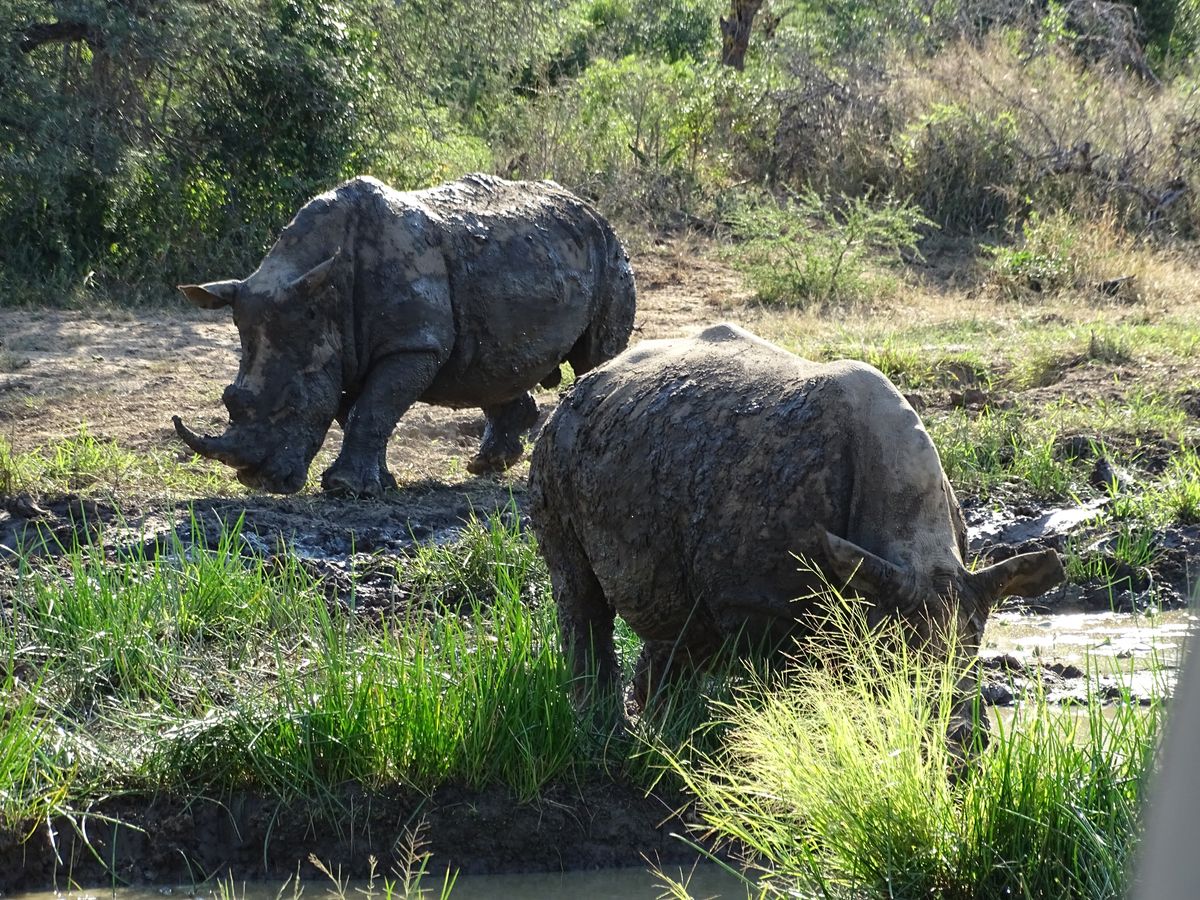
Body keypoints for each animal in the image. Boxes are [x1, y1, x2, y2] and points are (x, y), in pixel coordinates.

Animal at [173, 173, 636, 496]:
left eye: (292, 402)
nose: (256, 480)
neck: (322, 293)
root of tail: (589, 206)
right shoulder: (347, 346)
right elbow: (360, 411)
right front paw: (377, 484)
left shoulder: (413, 344)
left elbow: (372, 408)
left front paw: (345, 489)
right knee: (495, 364)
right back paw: (485, 466)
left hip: (609, 251)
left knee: (595, 358)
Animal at [529, 323, 1064, 719]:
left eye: (973, 660)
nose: (962, 751)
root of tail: (587, 383)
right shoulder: (758, 604)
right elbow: (789, 691)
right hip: (556, 446)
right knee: (579, 592)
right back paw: (604, 730)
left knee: (680, 622)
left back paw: (660, 730)